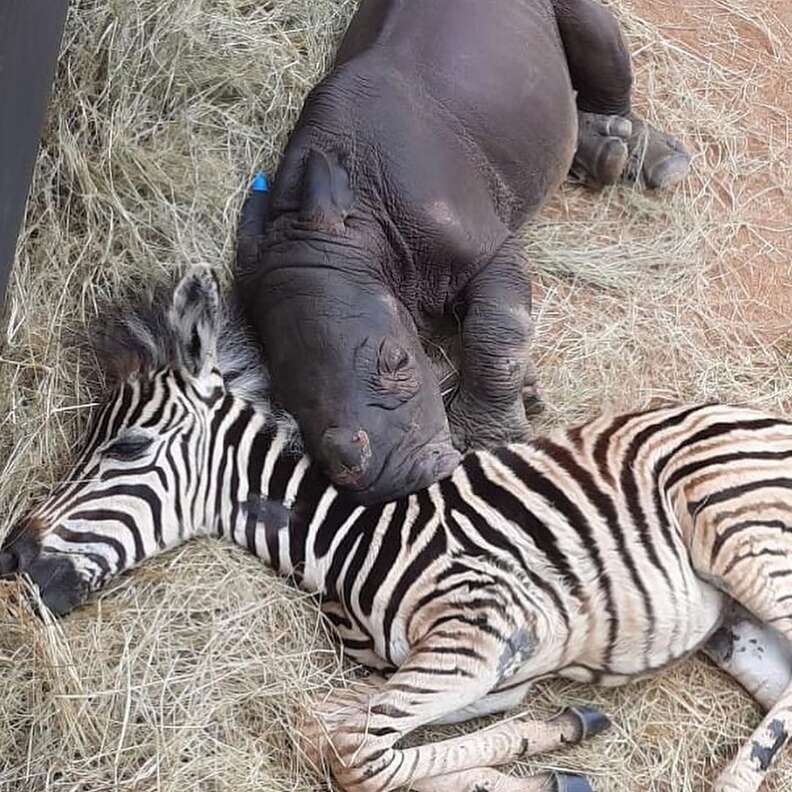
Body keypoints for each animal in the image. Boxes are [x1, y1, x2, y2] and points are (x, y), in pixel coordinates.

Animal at [1, 268, 792, 792]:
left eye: (127, 446)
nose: (11, 558)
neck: (348, 543)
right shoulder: (479, 669)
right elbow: (327, 728)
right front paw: (554, 746)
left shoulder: (483, 634)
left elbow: (357, 756)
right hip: (735, 627)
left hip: (740, 529)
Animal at [235, 0, 688, 504]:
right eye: (287, 403)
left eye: (399, 361)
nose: (393, 481)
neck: (357, 231)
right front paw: (527, 393)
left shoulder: (488, 249)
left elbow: (496, 335)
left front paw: (488, 440)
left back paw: (645, 158)